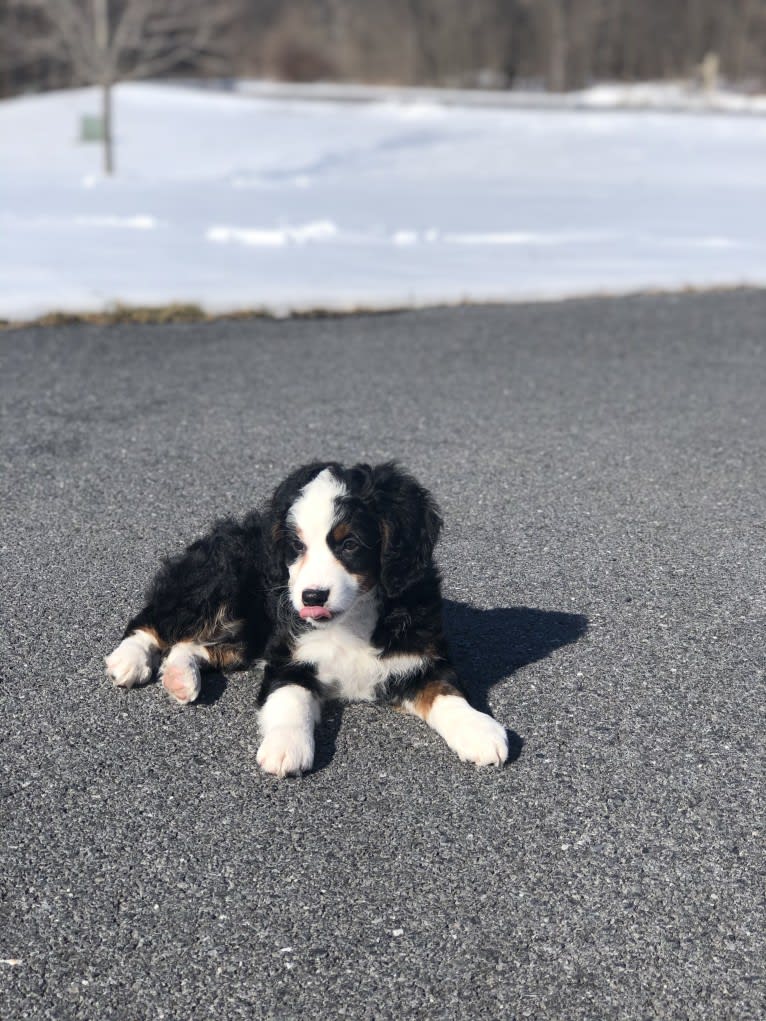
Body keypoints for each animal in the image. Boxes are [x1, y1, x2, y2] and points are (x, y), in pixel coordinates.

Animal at [103, 463, 510, 771]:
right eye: (297, 546)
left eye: (349, 544)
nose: (312, 597)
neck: (354, 619)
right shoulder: (289, 658)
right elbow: (289, 699)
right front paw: (285, 747)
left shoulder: (421, 657)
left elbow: (447, 692)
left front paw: (479, 730)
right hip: (219, 579)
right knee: (157, 619)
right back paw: (130, 660)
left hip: (248, 632)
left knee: (196, 645)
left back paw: (179, 677)